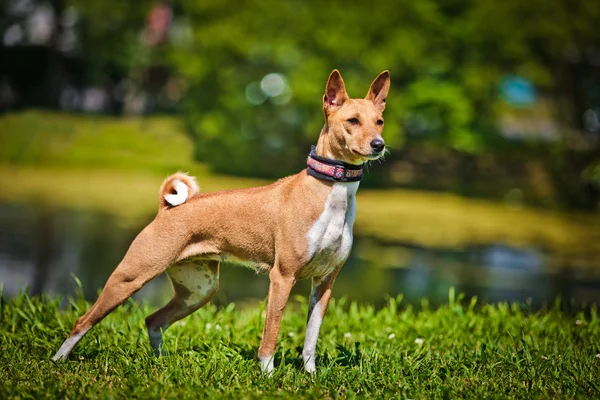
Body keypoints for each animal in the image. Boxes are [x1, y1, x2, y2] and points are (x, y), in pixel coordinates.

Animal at [50, 69, 390, 376]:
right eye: (352, 121)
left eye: (379, 121)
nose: (379, 144)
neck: (330, 193)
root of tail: (165, 208)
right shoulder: (282, 277)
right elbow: (270, 337)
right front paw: (268, 378)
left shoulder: (325, 282)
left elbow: (310, 340)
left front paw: (311, 377)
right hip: (130, 277)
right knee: (83, 321)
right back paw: (58, 360)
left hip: (199, 290)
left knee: (153, 320)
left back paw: (161, 364)